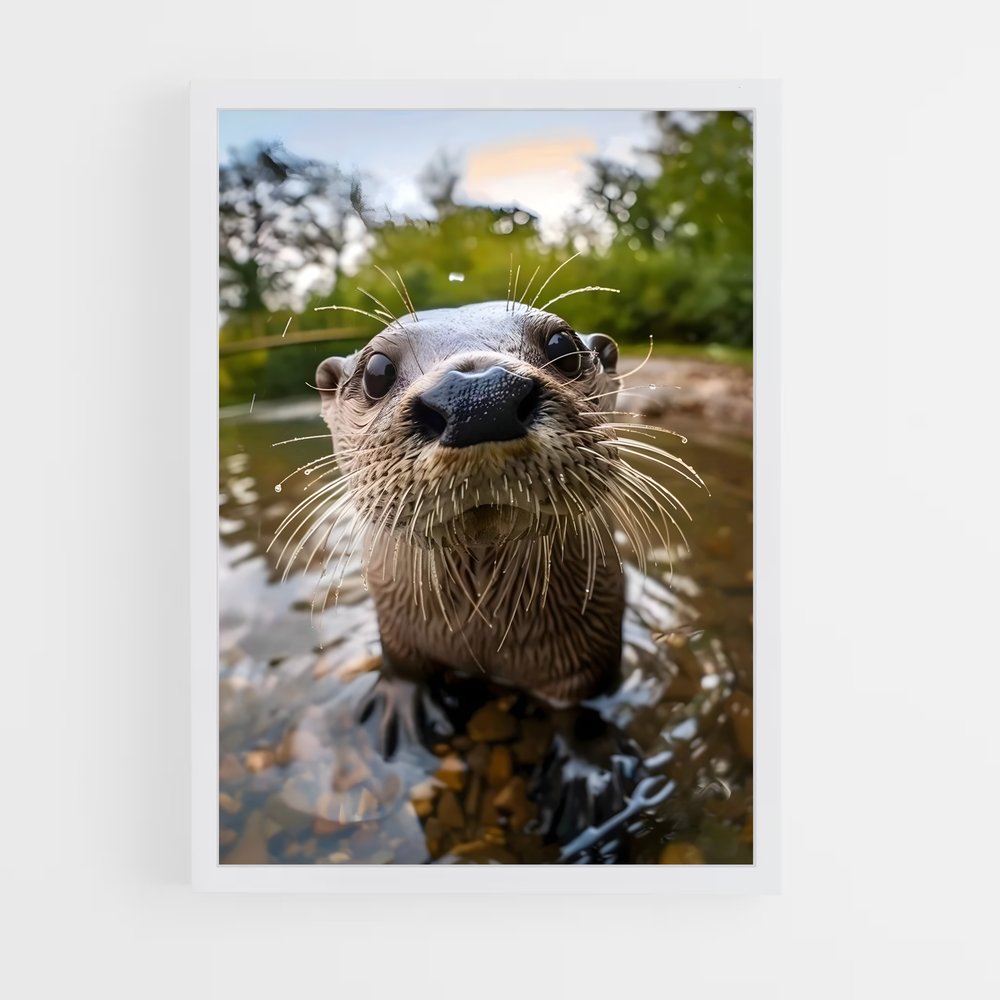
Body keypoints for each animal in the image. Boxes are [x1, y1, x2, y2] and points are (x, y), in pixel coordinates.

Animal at [308, 300, 691, 705]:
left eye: (562, 346)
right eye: (377, 372)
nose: (479, 397)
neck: (483, 633)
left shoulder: (586, 664)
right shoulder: (398, 639)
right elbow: (405, 673)